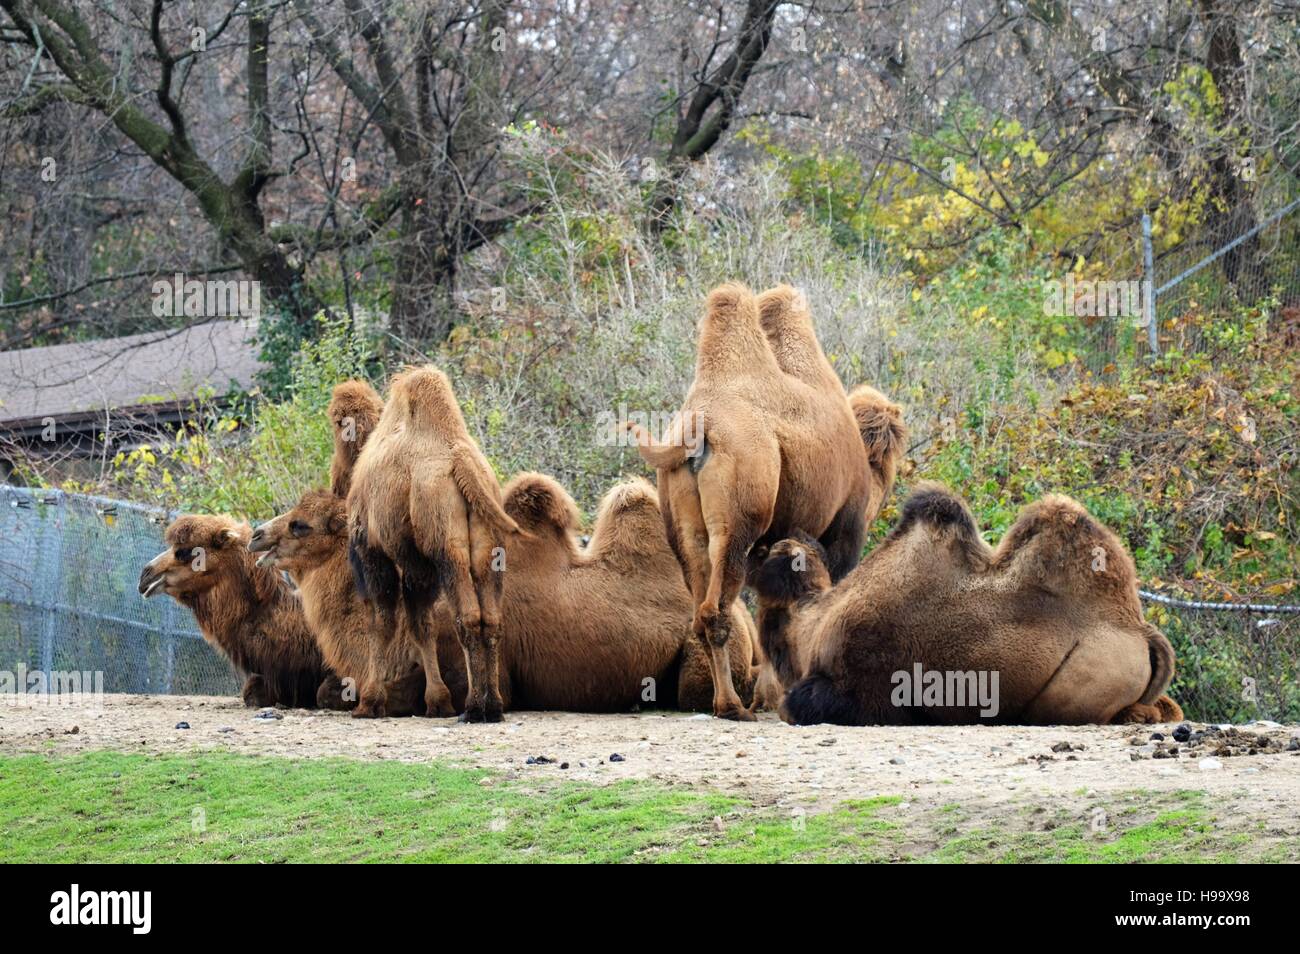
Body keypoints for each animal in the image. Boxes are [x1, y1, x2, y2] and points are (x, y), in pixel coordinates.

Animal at [351, 369, 522, 722]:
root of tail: (462, 464)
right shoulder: (418, 566)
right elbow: (422, 625)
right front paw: (438, 701)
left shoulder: (372, 550)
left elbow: (382, 623)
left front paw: (369, 703)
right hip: (489, 549)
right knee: (491, 618)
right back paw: (493, 706)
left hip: (446, 548)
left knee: (467, 616)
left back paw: (474, 707)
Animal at [634, 285, 899, 722]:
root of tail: (699, 425)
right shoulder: (841, 536)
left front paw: (768, 697)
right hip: (740, 520)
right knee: (717, 608)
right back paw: (732, 707)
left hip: (682, 521)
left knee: (701, 607)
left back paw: (731, 704)